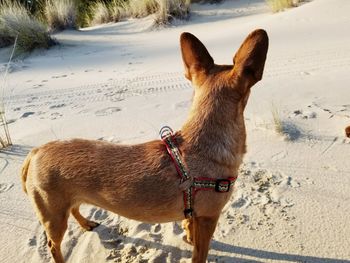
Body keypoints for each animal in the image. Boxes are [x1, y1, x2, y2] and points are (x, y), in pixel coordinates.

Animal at [21, 29, 268, 262]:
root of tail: (35, 152)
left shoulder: (194, 215)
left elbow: (189, 228)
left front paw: (188, 237)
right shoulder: (208, 218)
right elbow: (200, 254)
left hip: (66, 203)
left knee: (74, 208)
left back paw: (86, 223)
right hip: (53, 217)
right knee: (53, 245)